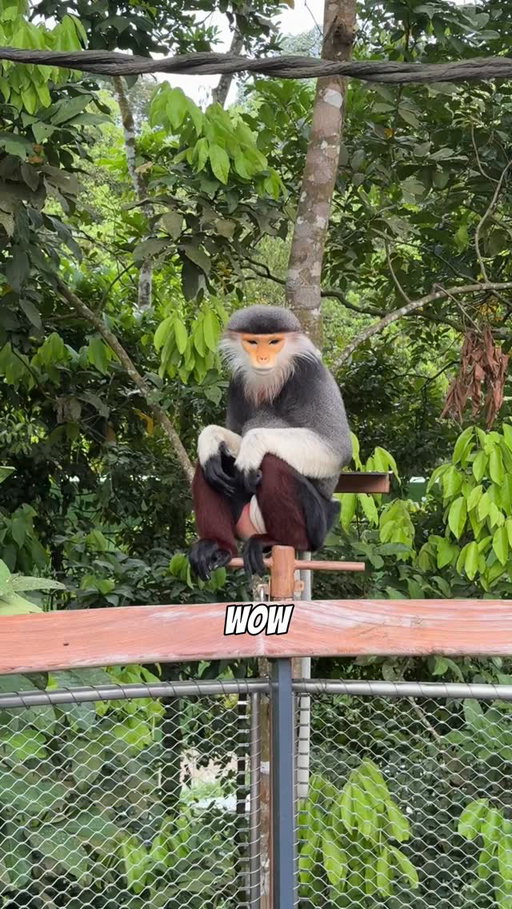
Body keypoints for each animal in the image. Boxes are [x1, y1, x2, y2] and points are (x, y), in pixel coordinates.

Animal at [189, 305, 352, 579]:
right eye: (253, 343)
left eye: (274, 342)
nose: (263, 358)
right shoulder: (238, 381)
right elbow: (232, 436)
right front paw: (211, 437)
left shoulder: (310, 373)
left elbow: (338, 448)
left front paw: (252, 447)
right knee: (211, 464)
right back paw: (218, 547)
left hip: (317, 523)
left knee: (272, 462)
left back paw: (280, 540)